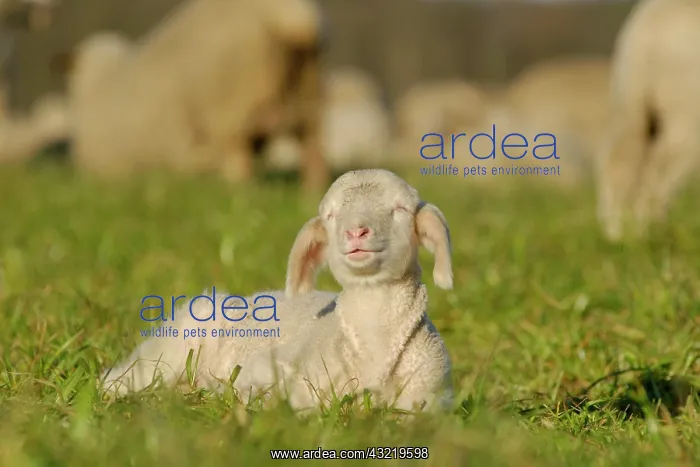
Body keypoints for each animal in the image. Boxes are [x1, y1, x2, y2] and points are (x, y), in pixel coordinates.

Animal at [65, 0, 329, 191]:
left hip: (232, 111)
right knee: (312, 151)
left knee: (239, 165)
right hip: (307, 96)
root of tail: (293, 17)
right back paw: (310, 193)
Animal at [102, 169, 454, 413]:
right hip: (174, 345)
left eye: (400, 209)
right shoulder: (271, 367)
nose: (357, 232)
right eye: (331, 215)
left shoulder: (430, 393)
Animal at [595, 0, 700, 241]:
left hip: (631, 96)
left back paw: (617, 233)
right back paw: (650, 233)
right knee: (660, 169)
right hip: (686, 107)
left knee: (620, 160)